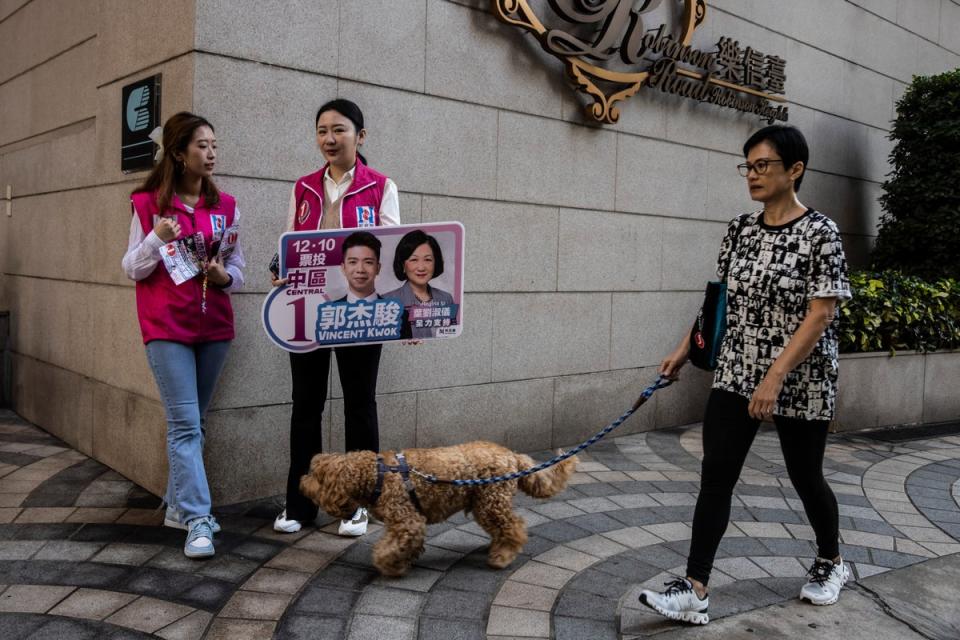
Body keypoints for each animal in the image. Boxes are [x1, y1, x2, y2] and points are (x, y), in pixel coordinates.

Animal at [300, 442, 576, 576]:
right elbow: (408, 546)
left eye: (315, 476)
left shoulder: (407, 521)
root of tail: (514, 457)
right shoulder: (409, 524)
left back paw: (502, 556)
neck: (379, 475)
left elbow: (389, 548)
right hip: (483, 503)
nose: (301, 482)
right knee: (504, 528)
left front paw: (389, 566)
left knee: (514, 527)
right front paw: (404, 561)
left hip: (491, 502)